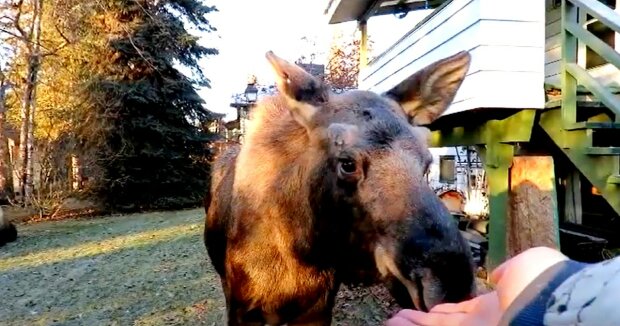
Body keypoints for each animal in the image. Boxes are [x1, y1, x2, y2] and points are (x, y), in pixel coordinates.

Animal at [206, 49, 478, 324]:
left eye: (427, 161)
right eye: (347, 163)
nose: (452, 284)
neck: (301, 251)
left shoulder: (318, 308)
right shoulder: (242, 310)